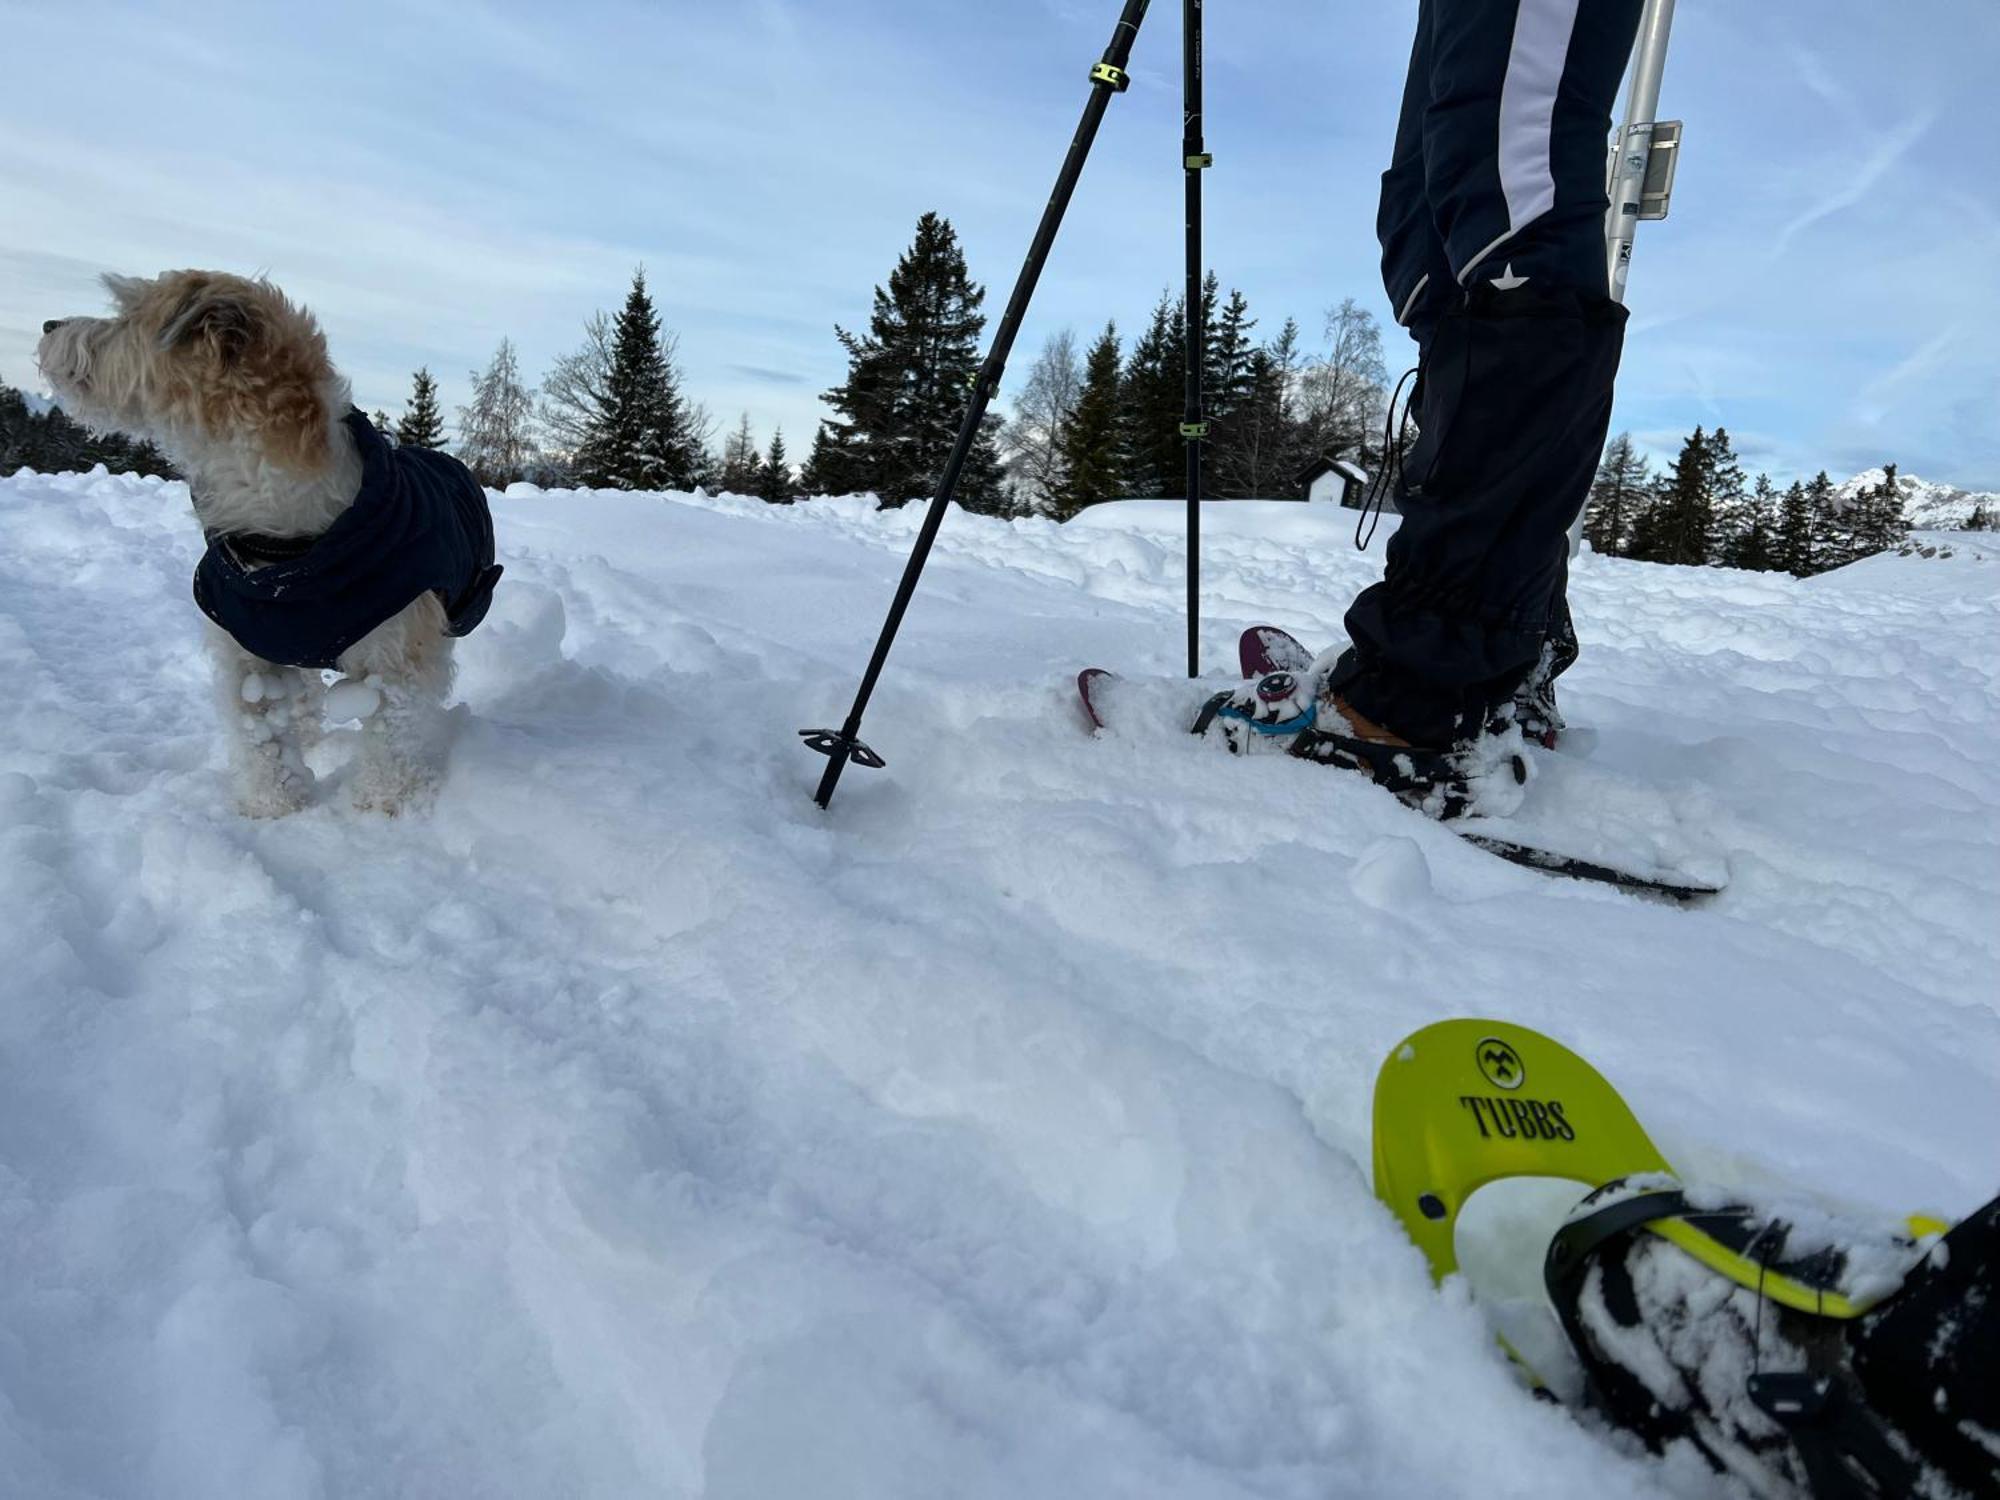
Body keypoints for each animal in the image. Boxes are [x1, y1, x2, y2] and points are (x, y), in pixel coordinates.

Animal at [38, 270, 496, 816]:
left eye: (127, 314)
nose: (47, 324)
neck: (286, 557)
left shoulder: (400, 653)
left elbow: (392, 738)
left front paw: (382, 807)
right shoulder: (246, 654)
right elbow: (262, 740)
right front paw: (273, 808)